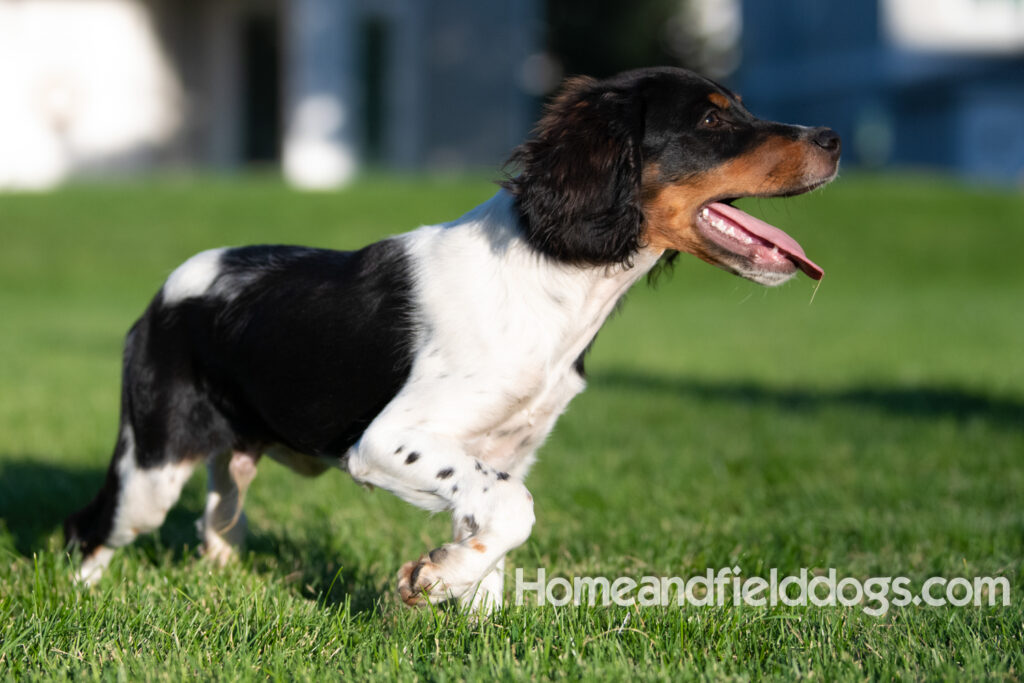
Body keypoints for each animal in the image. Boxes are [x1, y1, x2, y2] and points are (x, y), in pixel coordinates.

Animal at [64, 68, 839, 614]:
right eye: (710, 119)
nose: (832, 140)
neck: (547, 274)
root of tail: (167, 289)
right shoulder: (388, 440)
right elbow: (514, 509)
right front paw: (434, 578)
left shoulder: (504, 449)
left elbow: (493, 525)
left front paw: (457, 594)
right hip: (152, 464)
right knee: (95, 525)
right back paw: (82, 596)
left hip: (231, 458)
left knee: (216, 523)